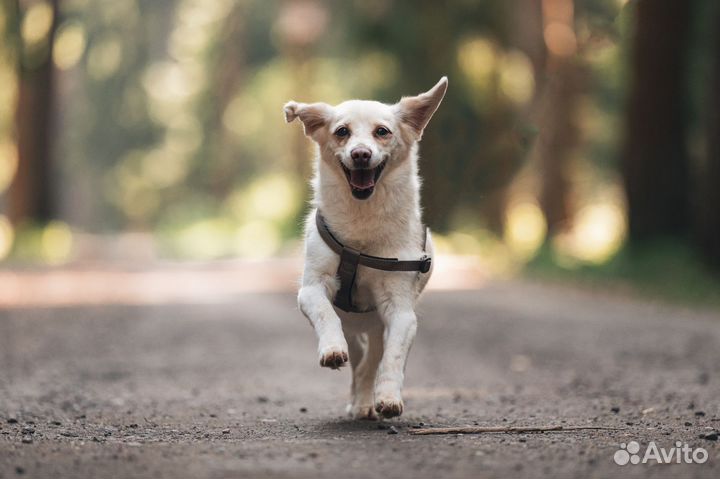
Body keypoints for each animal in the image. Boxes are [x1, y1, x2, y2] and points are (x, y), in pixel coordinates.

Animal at [284, 78, 448, 420]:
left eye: (382, 131)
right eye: (341, 131)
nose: (360, 154)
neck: (361, 231)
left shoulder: (401, 312)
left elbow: (392, 358)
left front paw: (388, 397)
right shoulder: (311, 289)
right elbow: (325, 315)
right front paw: (332, 350)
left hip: (375, 325)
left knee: (371, 360)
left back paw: (365, 402)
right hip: (353, 326)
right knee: (358, 356)